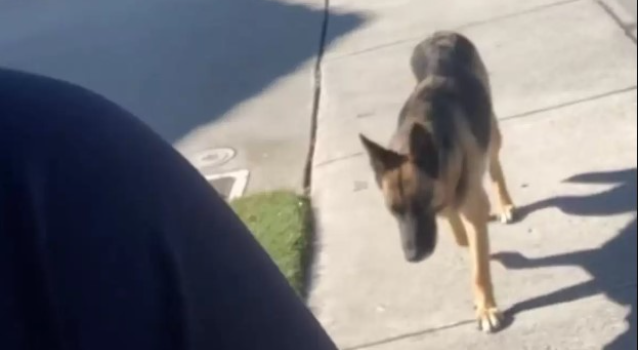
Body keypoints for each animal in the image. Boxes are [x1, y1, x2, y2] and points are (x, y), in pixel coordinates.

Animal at [362, 32, 516, 334]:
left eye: (421, 203)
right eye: (393, 211)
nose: (412, 257)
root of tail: (440, 34)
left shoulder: (468, 207)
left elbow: (479, 270)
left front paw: (486, 308)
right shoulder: (447, 199)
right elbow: (458, 230)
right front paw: (466, 243)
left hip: (491, 134)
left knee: (494, 166)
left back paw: (505, 203)